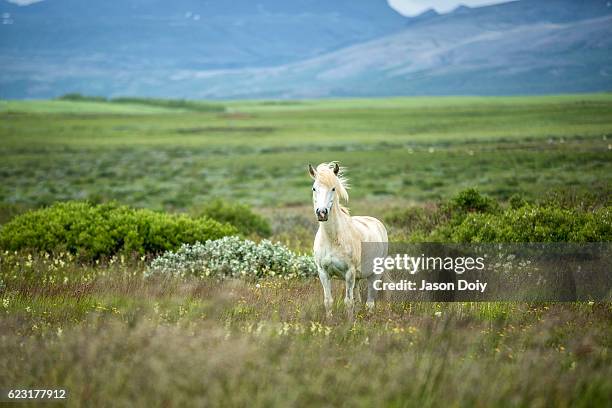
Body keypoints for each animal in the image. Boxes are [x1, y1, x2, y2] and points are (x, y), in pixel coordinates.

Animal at [308, 161, 390, 318]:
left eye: (333, 188)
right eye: (314, 188)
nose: (322, 213)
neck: (332, 239)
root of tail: (378, 223)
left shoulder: (349, 273)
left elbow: (348, 302)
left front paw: (349, 323)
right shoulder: (323, 273)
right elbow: (328, 301)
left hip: (374, 274)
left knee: (370, 302)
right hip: (357, 278)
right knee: (358, 300)